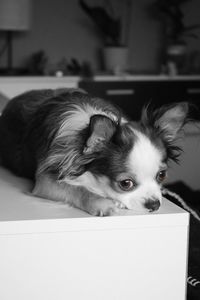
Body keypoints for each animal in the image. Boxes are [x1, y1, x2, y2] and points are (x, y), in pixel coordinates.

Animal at [0, 88, 189, 216]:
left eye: (162, 175)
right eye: (125, 184)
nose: (154, 205)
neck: (85, 129)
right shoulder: (46, 181)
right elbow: (77, 190)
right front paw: (103, 204)